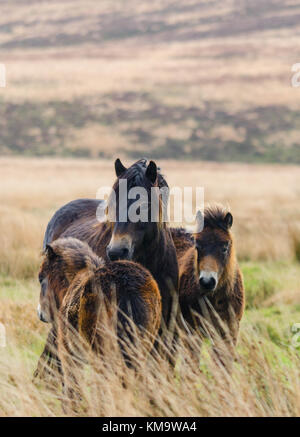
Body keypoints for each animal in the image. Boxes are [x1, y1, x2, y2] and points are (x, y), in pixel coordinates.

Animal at [172, 206, 245, 362]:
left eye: (225, 247)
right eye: (197, 246)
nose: (207, 282)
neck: (215, 299)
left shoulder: (228, 334)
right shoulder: (191, 334)